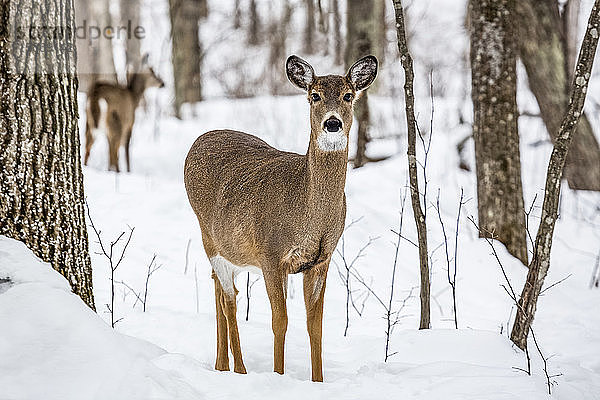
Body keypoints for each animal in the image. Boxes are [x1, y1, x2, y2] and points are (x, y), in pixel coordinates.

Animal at [185, 54, 378, 382]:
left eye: (348, 95)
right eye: (315, 96)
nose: (332, 123)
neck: (308, 215)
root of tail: (199, 139)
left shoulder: (321, 259)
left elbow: (316, 326)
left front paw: (318, 381)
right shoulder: (271, 254)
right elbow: (280, 321)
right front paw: (278, 374)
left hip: (230, 248)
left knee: (219, 290)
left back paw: (221, 364)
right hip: (209, 237)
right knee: (229, 300)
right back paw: (239, 368)